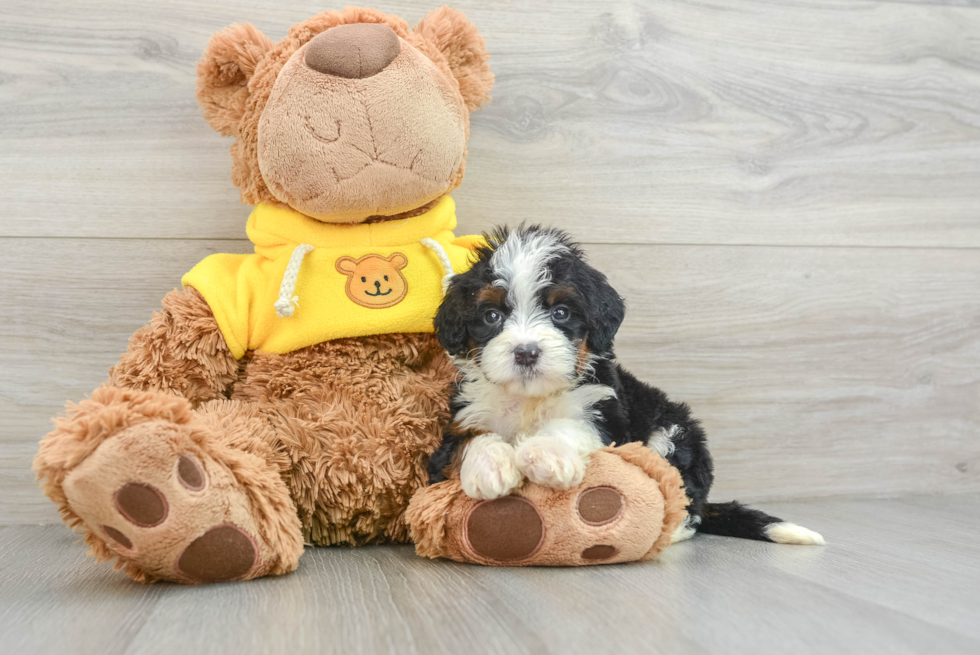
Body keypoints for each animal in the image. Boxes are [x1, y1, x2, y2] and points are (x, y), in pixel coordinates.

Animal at [432, 228, 824, 544]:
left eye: (560, 312)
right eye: (491, 315)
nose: (526, 352)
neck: (532, 398)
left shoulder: (605, 412)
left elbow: (572, 427)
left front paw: (548, 454)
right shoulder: (460, 419)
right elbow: (470, 439)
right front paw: (491, 468)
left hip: (674, 434)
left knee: (686, 501)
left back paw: (672, 530)